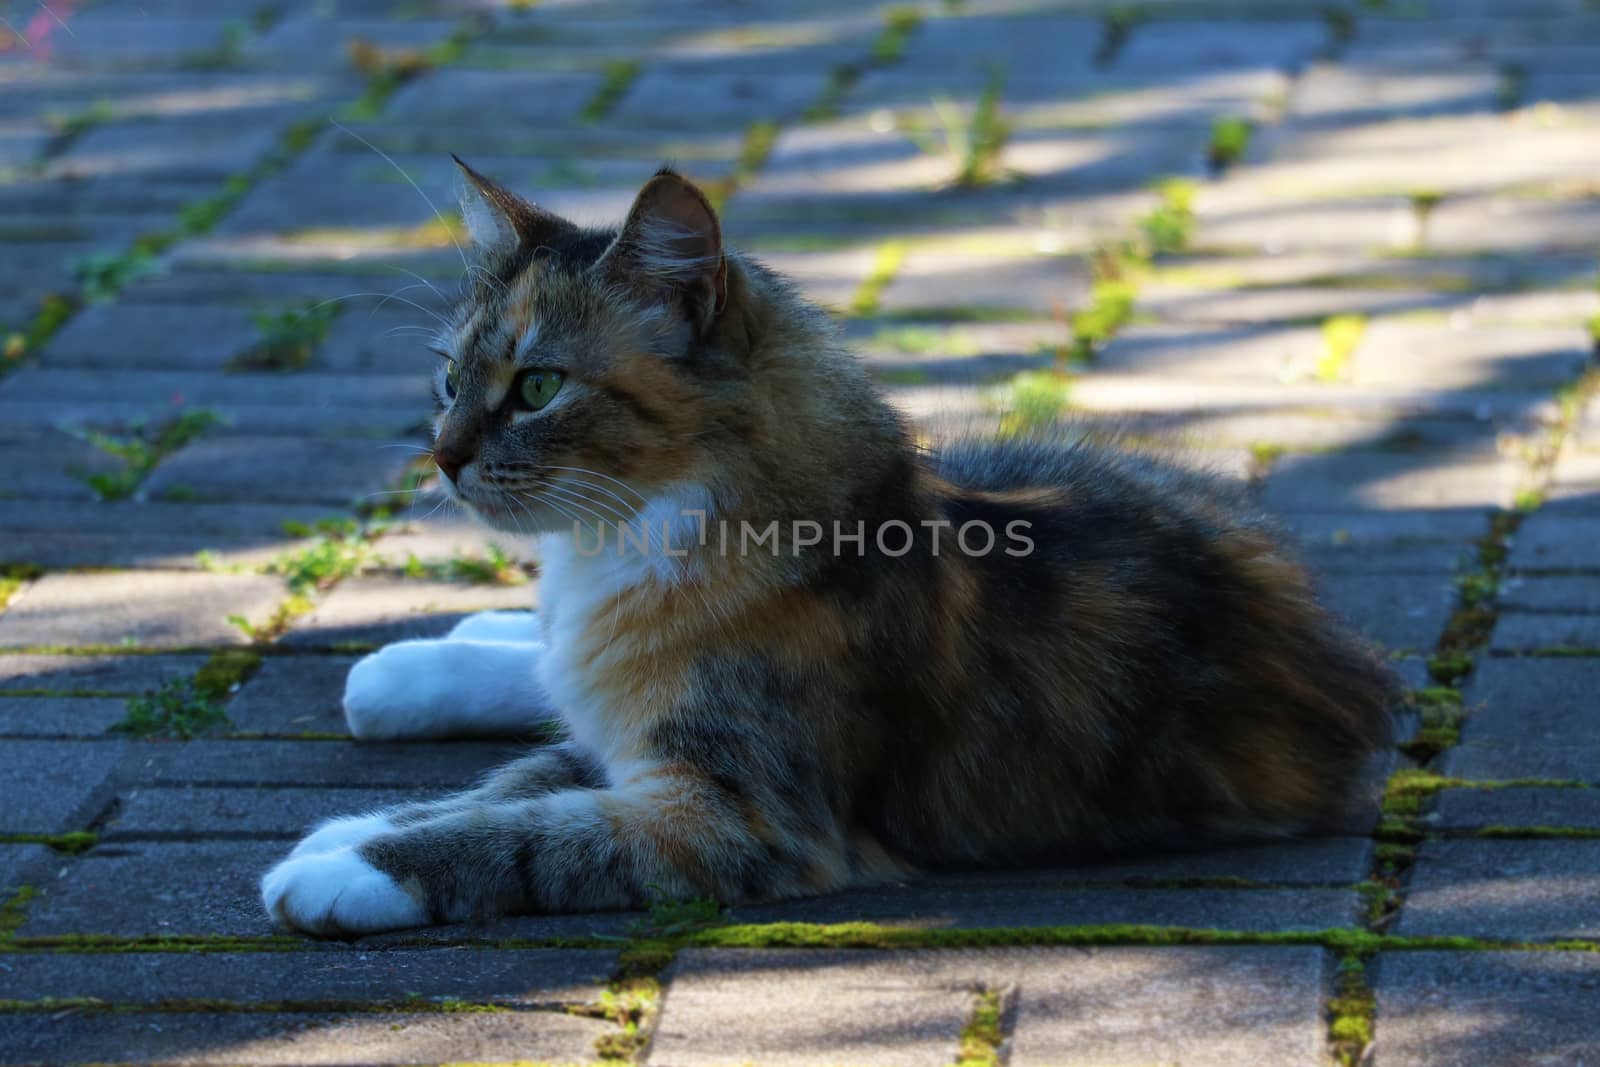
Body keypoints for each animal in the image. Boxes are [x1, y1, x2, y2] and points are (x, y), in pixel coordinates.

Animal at [256, 163, 1395, 940]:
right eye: (450, 378)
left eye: (537, 387)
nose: (440, 458)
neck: (631, 537)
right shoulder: (638, 746)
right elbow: (508, 783)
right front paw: (353, 832)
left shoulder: (734, 806)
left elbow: (530, 826)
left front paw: (347, 861)